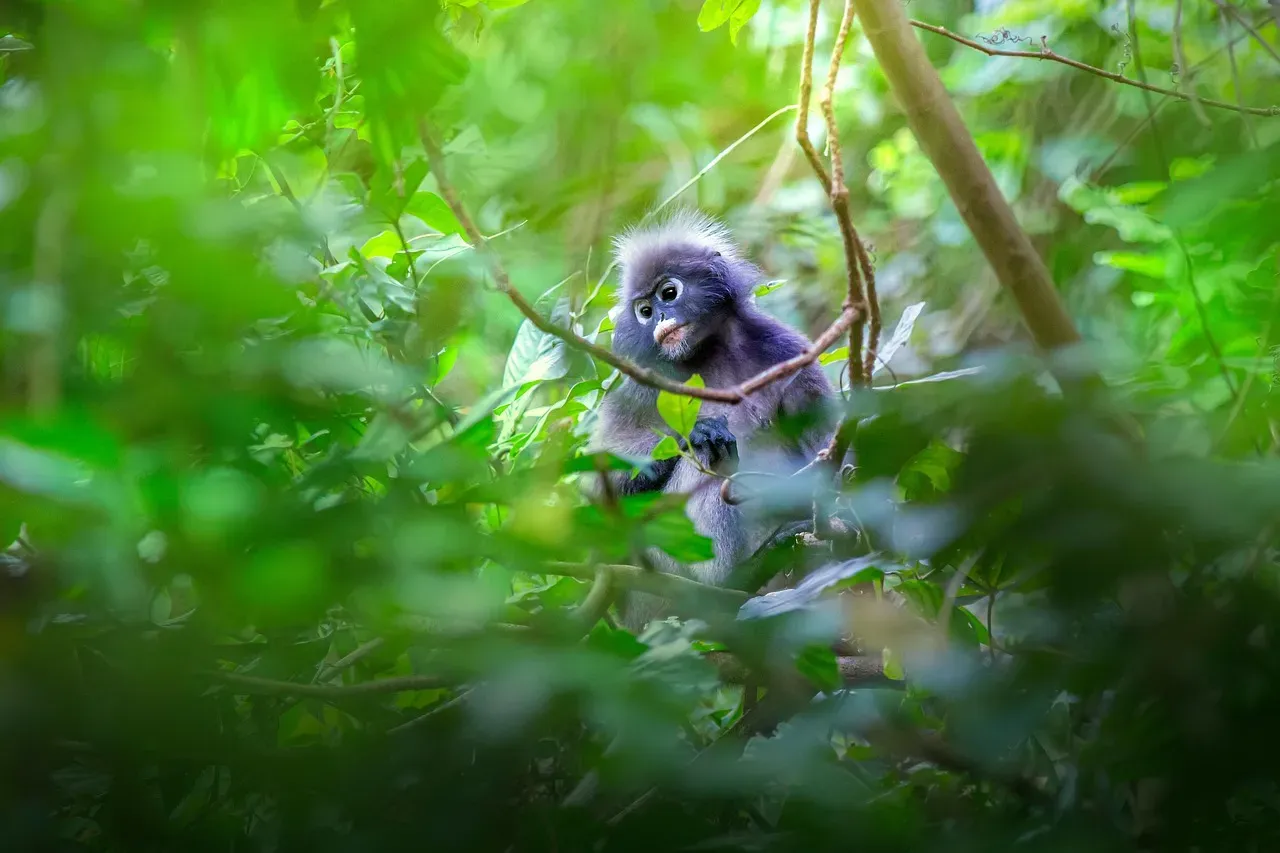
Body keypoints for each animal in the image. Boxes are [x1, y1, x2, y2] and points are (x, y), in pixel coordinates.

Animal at [587, 209, 838, 631]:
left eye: (668, 294)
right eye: (644, 311)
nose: (659, 319)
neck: (708, 350)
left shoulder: (788, 350)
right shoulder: (638, 380)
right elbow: (599, 490)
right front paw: (700, 429)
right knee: (709, 454)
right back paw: (733, 578)